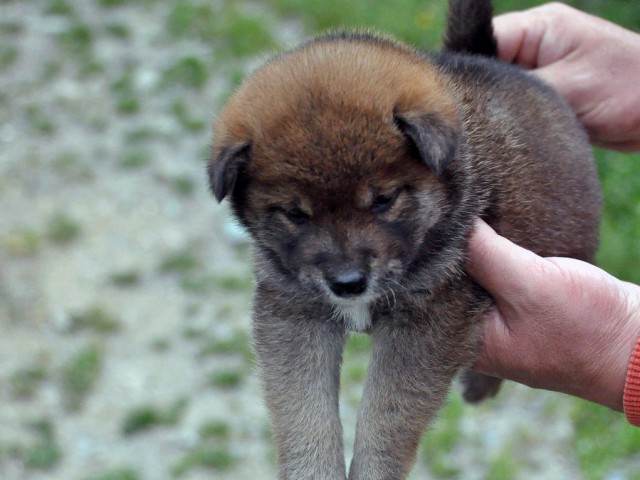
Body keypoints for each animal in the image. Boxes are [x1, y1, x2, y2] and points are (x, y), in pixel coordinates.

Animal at [209, 0, 600, 480]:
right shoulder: (294, 313)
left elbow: (386, 417)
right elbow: (302, 412)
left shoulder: (427, 320)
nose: (348, 284)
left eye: (384, 200)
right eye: (295, 214)